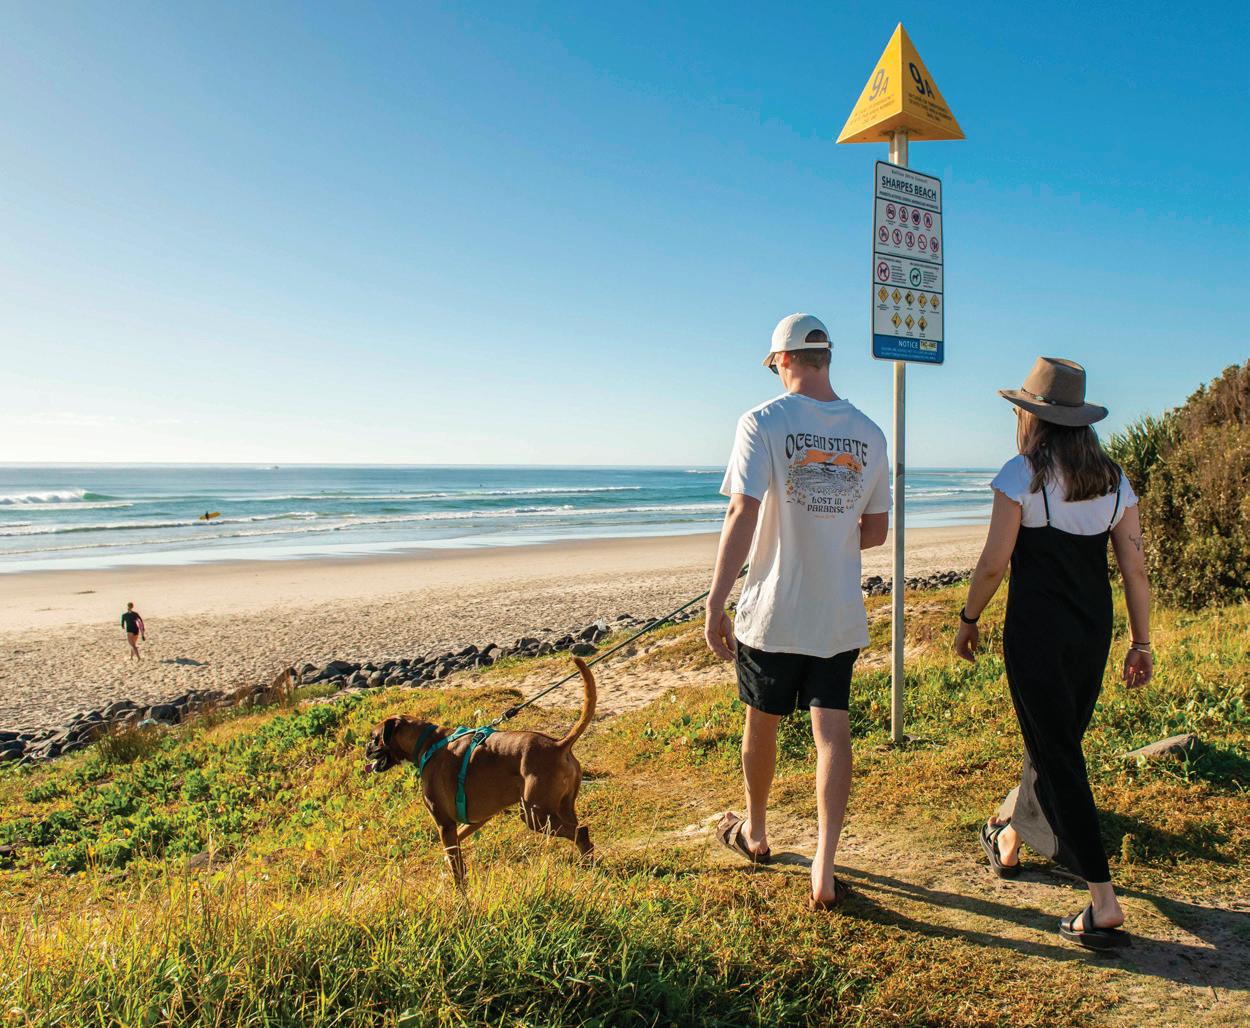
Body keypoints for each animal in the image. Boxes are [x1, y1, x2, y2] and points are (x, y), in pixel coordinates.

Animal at [364, 656, 596, 885]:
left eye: (374, 738)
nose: (365, 750)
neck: (427, 741)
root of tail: (558, 745)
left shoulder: (445, 824)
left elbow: (456, 866)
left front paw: (459, 892)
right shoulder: (477, 819)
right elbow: (456, 845)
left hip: (535, 815)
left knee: (581, 832)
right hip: (560, 809)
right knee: (580, 831)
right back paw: (588, 866)